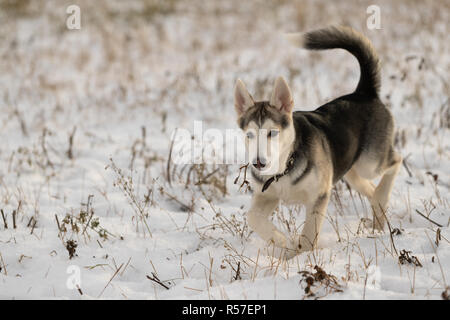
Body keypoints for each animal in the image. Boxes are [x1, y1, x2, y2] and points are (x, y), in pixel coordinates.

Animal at [234, 26, 402, 258]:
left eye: (272, 133)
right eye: (249, 135)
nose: (259, 163)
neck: (284, 168)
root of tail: (363, 92)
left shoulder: (319, 196)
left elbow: (309, 231)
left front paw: (301, 255)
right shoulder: (266, 195)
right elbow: (253, 218)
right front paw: (281, 240)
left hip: (369, 163)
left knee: (396, 161)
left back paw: (382, 198)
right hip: (350, 171)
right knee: (370, 188)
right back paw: (377, 215)